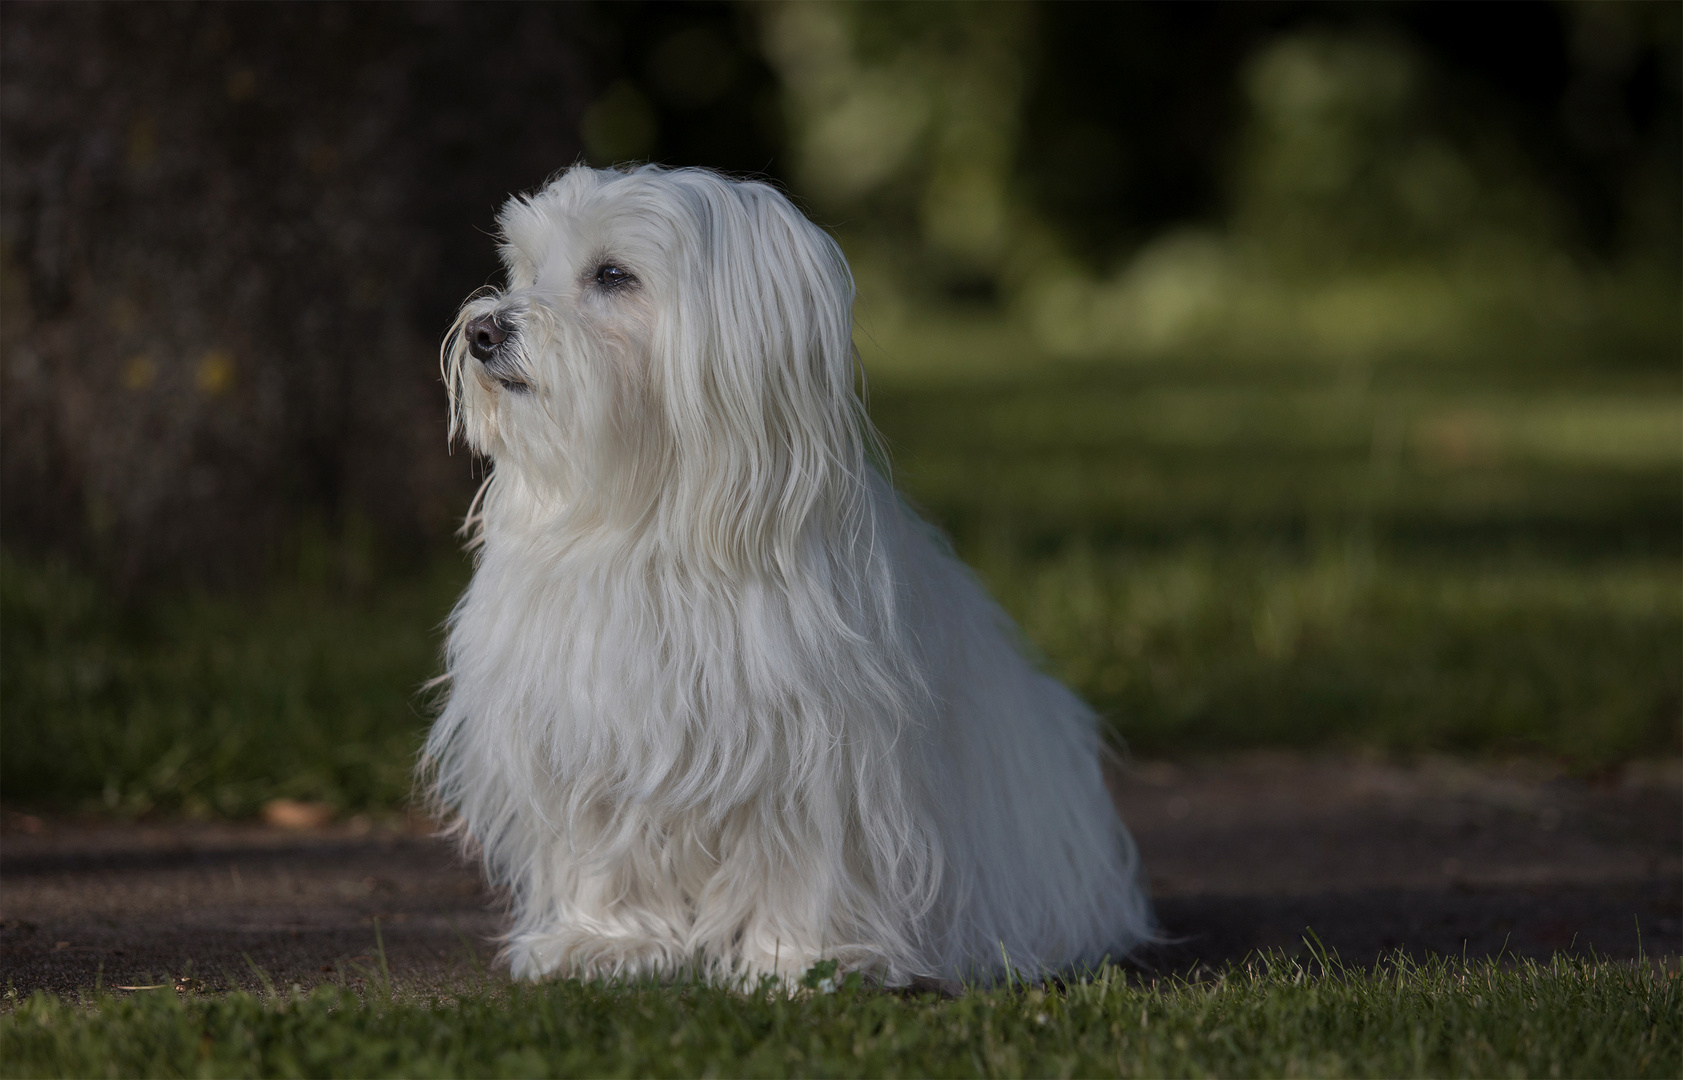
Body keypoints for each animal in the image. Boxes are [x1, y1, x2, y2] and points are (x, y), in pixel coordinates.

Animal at [427, 161, 1151, 982]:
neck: (648, 523)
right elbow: (603, 849)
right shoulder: (585, 731)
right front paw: (606, 940)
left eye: (613, 274)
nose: (483, 331)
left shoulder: (814, 752)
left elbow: (798, 861)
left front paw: (794, 960)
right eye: (524, 268)